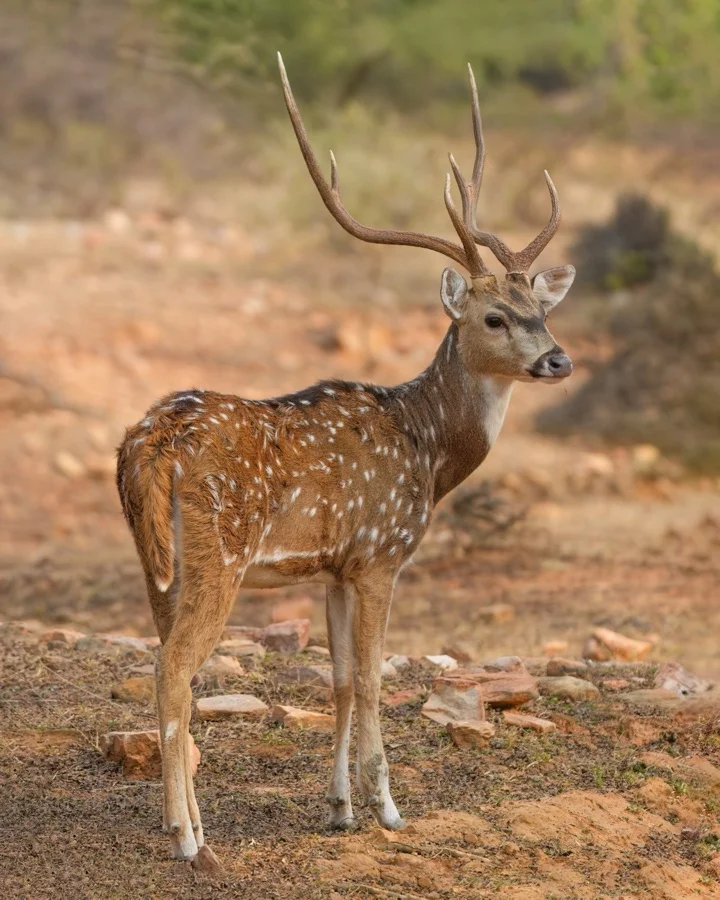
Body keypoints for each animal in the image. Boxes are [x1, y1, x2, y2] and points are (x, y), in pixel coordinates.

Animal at [116, 53, 576, 867]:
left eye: (543, 309)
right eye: (495, 317)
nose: (559, 359)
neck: (427, 450)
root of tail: (148, 444)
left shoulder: (334, 565)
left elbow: (334, 681)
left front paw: (339, 809)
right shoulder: (381, 553)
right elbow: (369, 679)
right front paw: (388, 808)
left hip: (156, 562)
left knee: (169, 667)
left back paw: (188, 823)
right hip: (216, 555)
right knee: (173, 671)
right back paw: (188, 839)